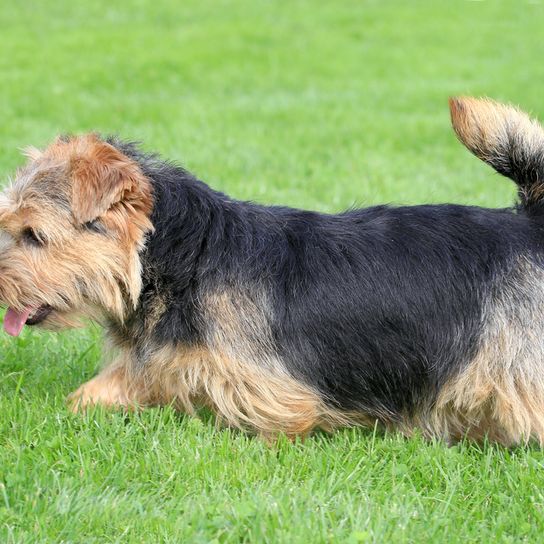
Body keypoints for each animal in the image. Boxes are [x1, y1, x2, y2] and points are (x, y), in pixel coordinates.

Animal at [1, 98, 544, 444]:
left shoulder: (276, 395)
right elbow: (94, 393)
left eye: (34, 235)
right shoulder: (156, 363)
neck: (185, 260)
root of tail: (530, 224)